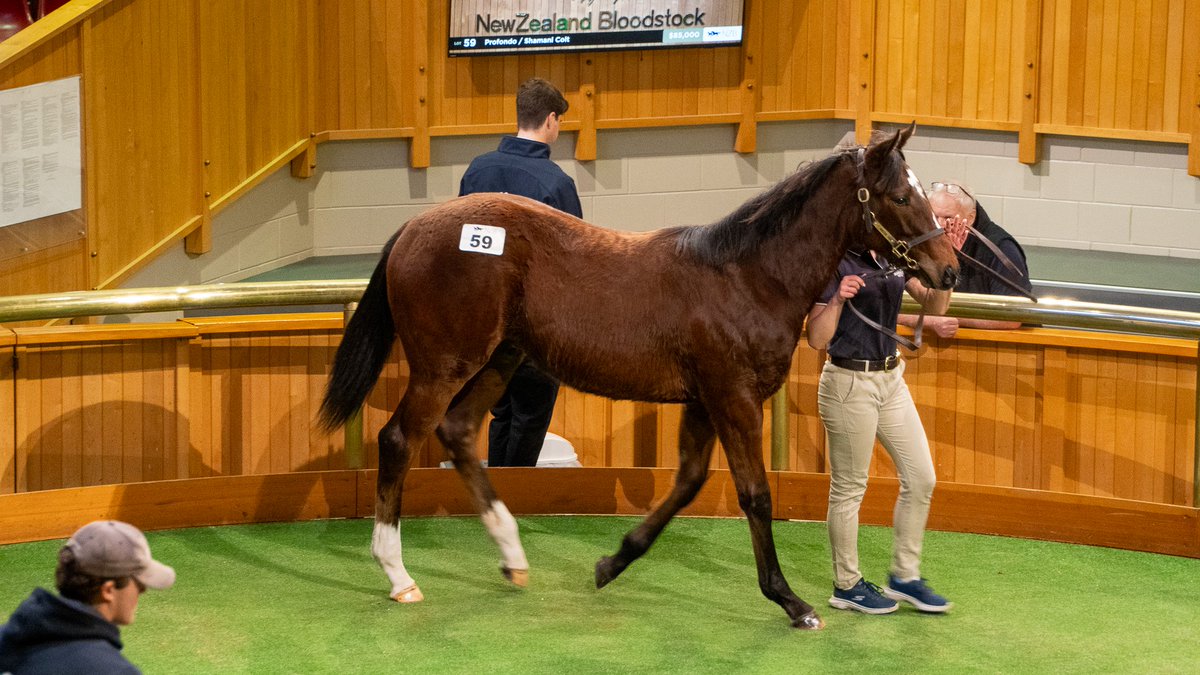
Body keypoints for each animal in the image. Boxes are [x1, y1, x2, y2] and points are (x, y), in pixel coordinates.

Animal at [318, 123, 958, 630]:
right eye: (901, 195)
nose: (947, 269)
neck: (748, 277)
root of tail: (413, 228)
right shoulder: (734, 398)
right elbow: (755, 495)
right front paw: (791, 602)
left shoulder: (704, 401)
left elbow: (689, 482)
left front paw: (611, 563)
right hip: (444, 366)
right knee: (399, 439)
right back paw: (398, 575)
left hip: (502, 358)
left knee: (457, 432)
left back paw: (512, 556)